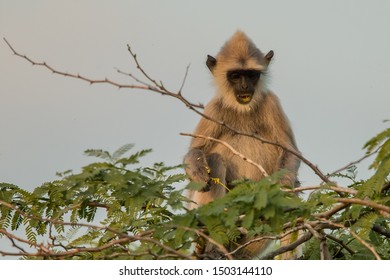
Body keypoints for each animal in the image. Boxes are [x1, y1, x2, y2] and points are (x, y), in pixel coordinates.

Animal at [184, 30, 302, 258]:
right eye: (236, 76)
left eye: (251, 75)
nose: (245, 86)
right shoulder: (214, 108)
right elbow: (196, 150)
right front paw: (197, 170)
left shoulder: (271, 102)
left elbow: (290, 152)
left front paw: (281, 191)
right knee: (215, 160)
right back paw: (211, 246)